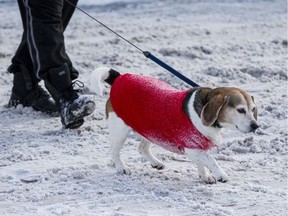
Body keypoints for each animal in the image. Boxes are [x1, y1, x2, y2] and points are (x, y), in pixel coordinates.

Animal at [90, 67, 258, 184]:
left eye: (253, 109)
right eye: (240, 110)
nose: (255, 126)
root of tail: (120, 78)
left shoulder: (199, 145)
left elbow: (203, 162)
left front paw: (205, 176)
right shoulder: (192, 148)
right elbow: (211, 160)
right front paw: (220, 174)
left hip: (152, 130)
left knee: (142, 148)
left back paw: (156, 163)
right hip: (120, 132)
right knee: (114, 152)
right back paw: (122, 167)